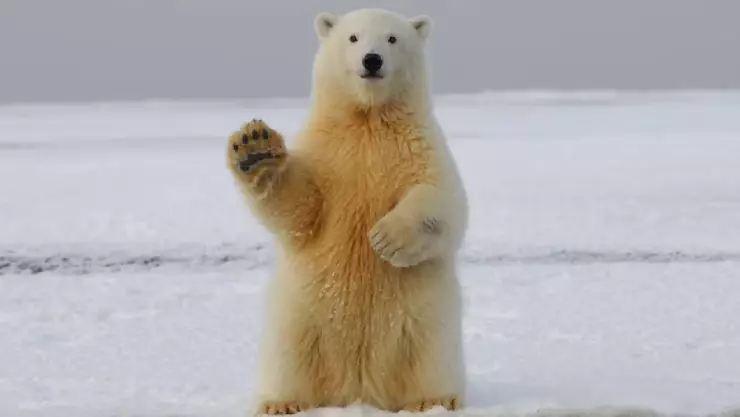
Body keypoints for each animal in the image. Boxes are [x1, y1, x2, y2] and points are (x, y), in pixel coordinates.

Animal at [226, 8, 469, 416]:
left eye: (392, 38)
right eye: (353, 37)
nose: (372, 60)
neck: (367, 119)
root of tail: (359, 389)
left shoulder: (420, 148)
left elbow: (444, 201)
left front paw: (386, 238)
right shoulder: (326, 154)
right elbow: (300, 209)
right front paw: (255, 148)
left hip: (427, 319)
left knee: (431, 355)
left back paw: (435, 399)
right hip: (299, 317)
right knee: (288, 357)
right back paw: (281, 403)